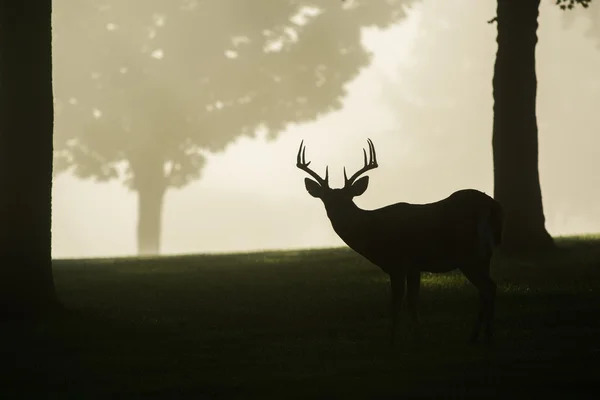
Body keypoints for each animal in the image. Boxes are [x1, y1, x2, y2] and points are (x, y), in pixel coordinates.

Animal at [298, 138, 504, 346]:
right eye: (326, 200)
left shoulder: (397, 263)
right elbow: (412, 301)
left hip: (469, 254)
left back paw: (487, 337)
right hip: (483, 256)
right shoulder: (414, 267)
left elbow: (396, 302)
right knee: (488, 289)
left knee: (488, 288)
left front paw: (392, 340)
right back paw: (476, 337)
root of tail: (492, 207)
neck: (373, 233)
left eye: (349, 199)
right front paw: (418, 337)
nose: (339, 216)